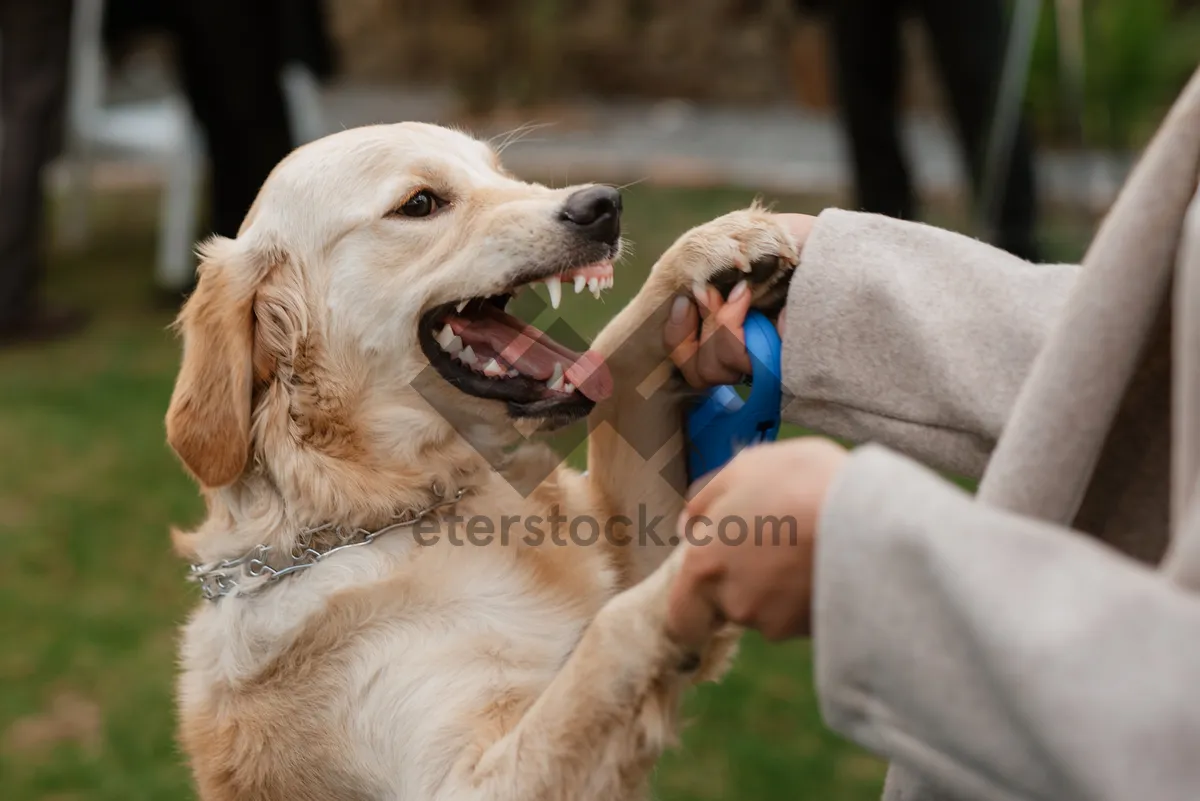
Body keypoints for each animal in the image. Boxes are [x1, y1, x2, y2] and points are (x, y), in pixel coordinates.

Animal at [169, 120, 801, 801]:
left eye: (502, 173)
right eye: (420, 203)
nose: (603, 205)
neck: (396, 507)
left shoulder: (629, 543)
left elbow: (619, 357)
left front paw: (711, 250)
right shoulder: (467, 781)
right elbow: (613, 629)